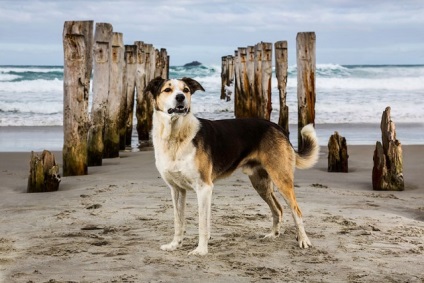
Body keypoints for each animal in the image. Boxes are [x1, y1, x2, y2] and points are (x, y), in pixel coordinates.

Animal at [145, 76, 318, 256]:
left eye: (186, 90)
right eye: (167, 90)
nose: (180, 97)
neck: (175, 136)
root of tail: (278, 127)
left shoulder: (204, 188)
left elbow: (202, 223)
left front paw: (201, 250)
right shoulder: (177, 190)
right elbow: (178, 221)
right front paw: (175, 244)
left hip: (281, 178)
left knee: (296, 210)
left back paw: (303, 240)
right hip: (261, 184)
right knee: (278, 209)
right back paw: (273, 234)